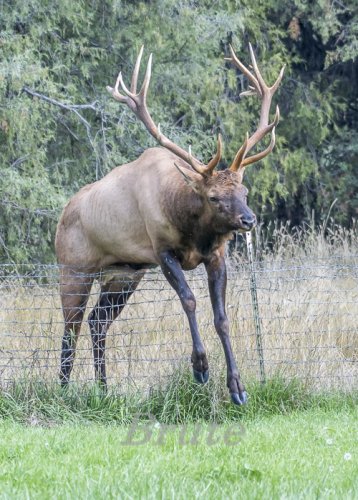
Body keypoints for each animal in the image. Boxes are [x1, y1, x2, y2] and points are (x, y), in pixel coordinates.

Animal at [56, 41, 284, 404]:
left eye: (245, 191)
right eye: (214, 197)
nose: (248, 220)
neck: (193, 231)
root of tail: (64, 213)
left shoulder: (216, 256)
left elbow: (222, 317)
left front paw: (237, 387)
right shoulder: (162, 251)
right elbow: (189, 300)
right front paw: (200, 368)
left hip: (123, 274)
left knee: (97, 322)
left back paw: (103, 389)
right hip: (74, 267)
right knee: (70, 327)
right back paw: (63, 390)